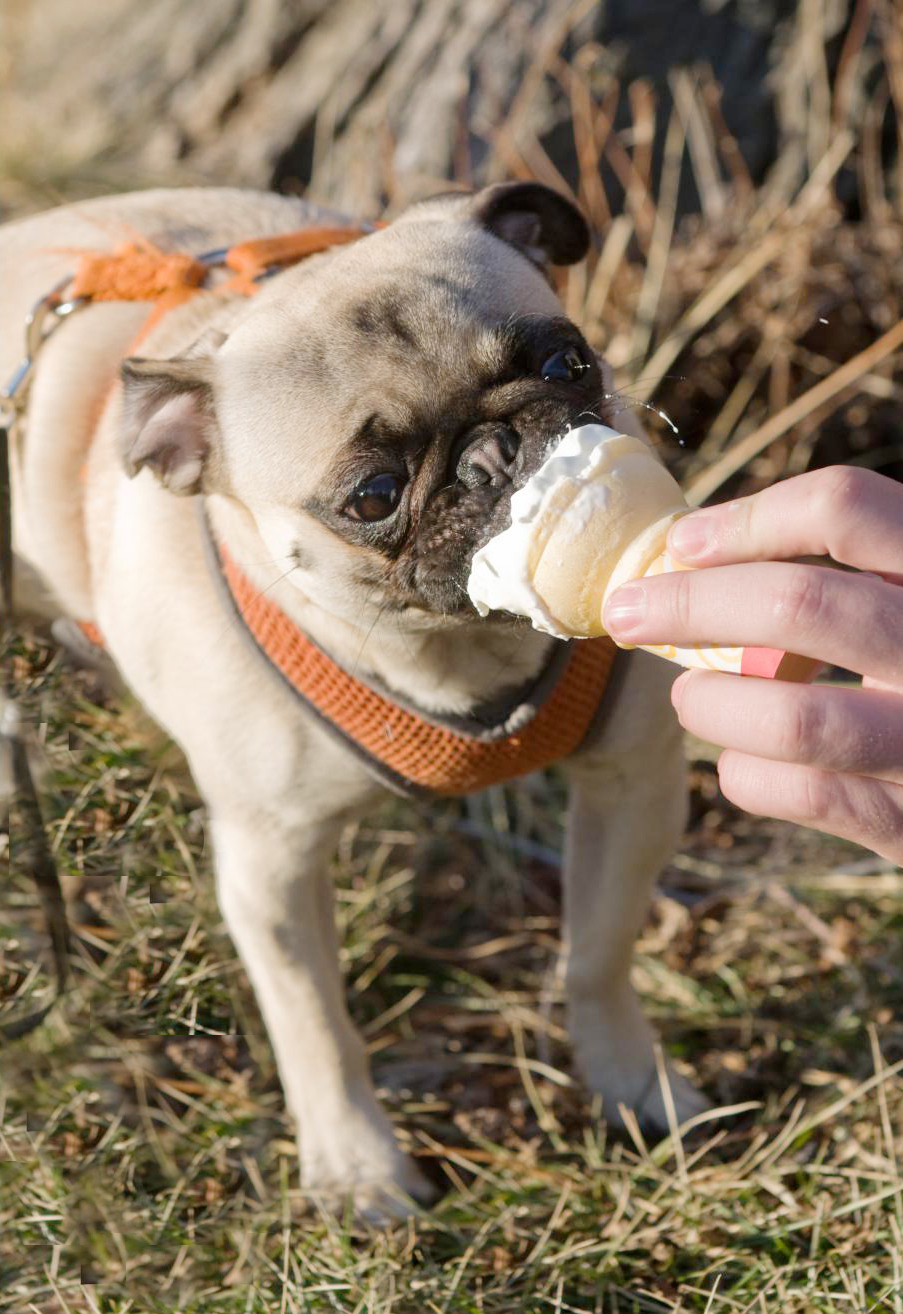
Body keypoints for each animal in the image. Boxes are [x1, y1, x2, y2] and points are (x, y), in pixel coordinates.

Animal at [0, 185, 704, 1219]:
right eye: (373, 495)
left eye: (565, 361)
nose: (495, 454)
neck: (457, 651)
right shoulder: (271, 864)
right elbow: (316, 1030)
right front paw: (358, 1167)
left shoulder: (629, 781)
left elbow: (597, 952)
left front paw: (630, 1084)